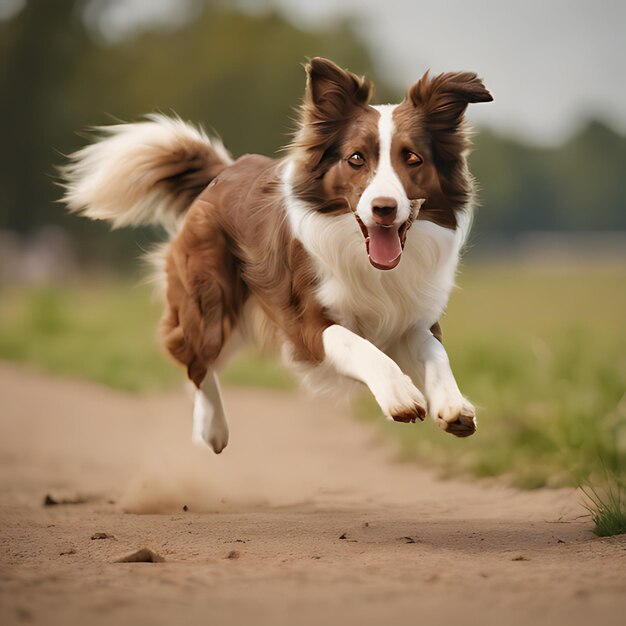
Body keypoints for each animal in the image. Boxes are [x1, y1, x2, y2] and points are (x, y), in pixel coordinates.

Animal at [63, 56, 492, 450]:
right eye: (356, 158)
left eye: (413, 158)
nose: (383, 208)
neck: (366, 259)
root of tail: (225, 171)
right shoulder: (308, 322)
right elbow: (358, 345)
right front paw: (399, 394)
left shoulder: (411, 317)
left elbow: (436, 353)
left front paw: (453, 405)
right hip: (210, 303)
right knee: (195, 360)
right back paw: (212, 428)